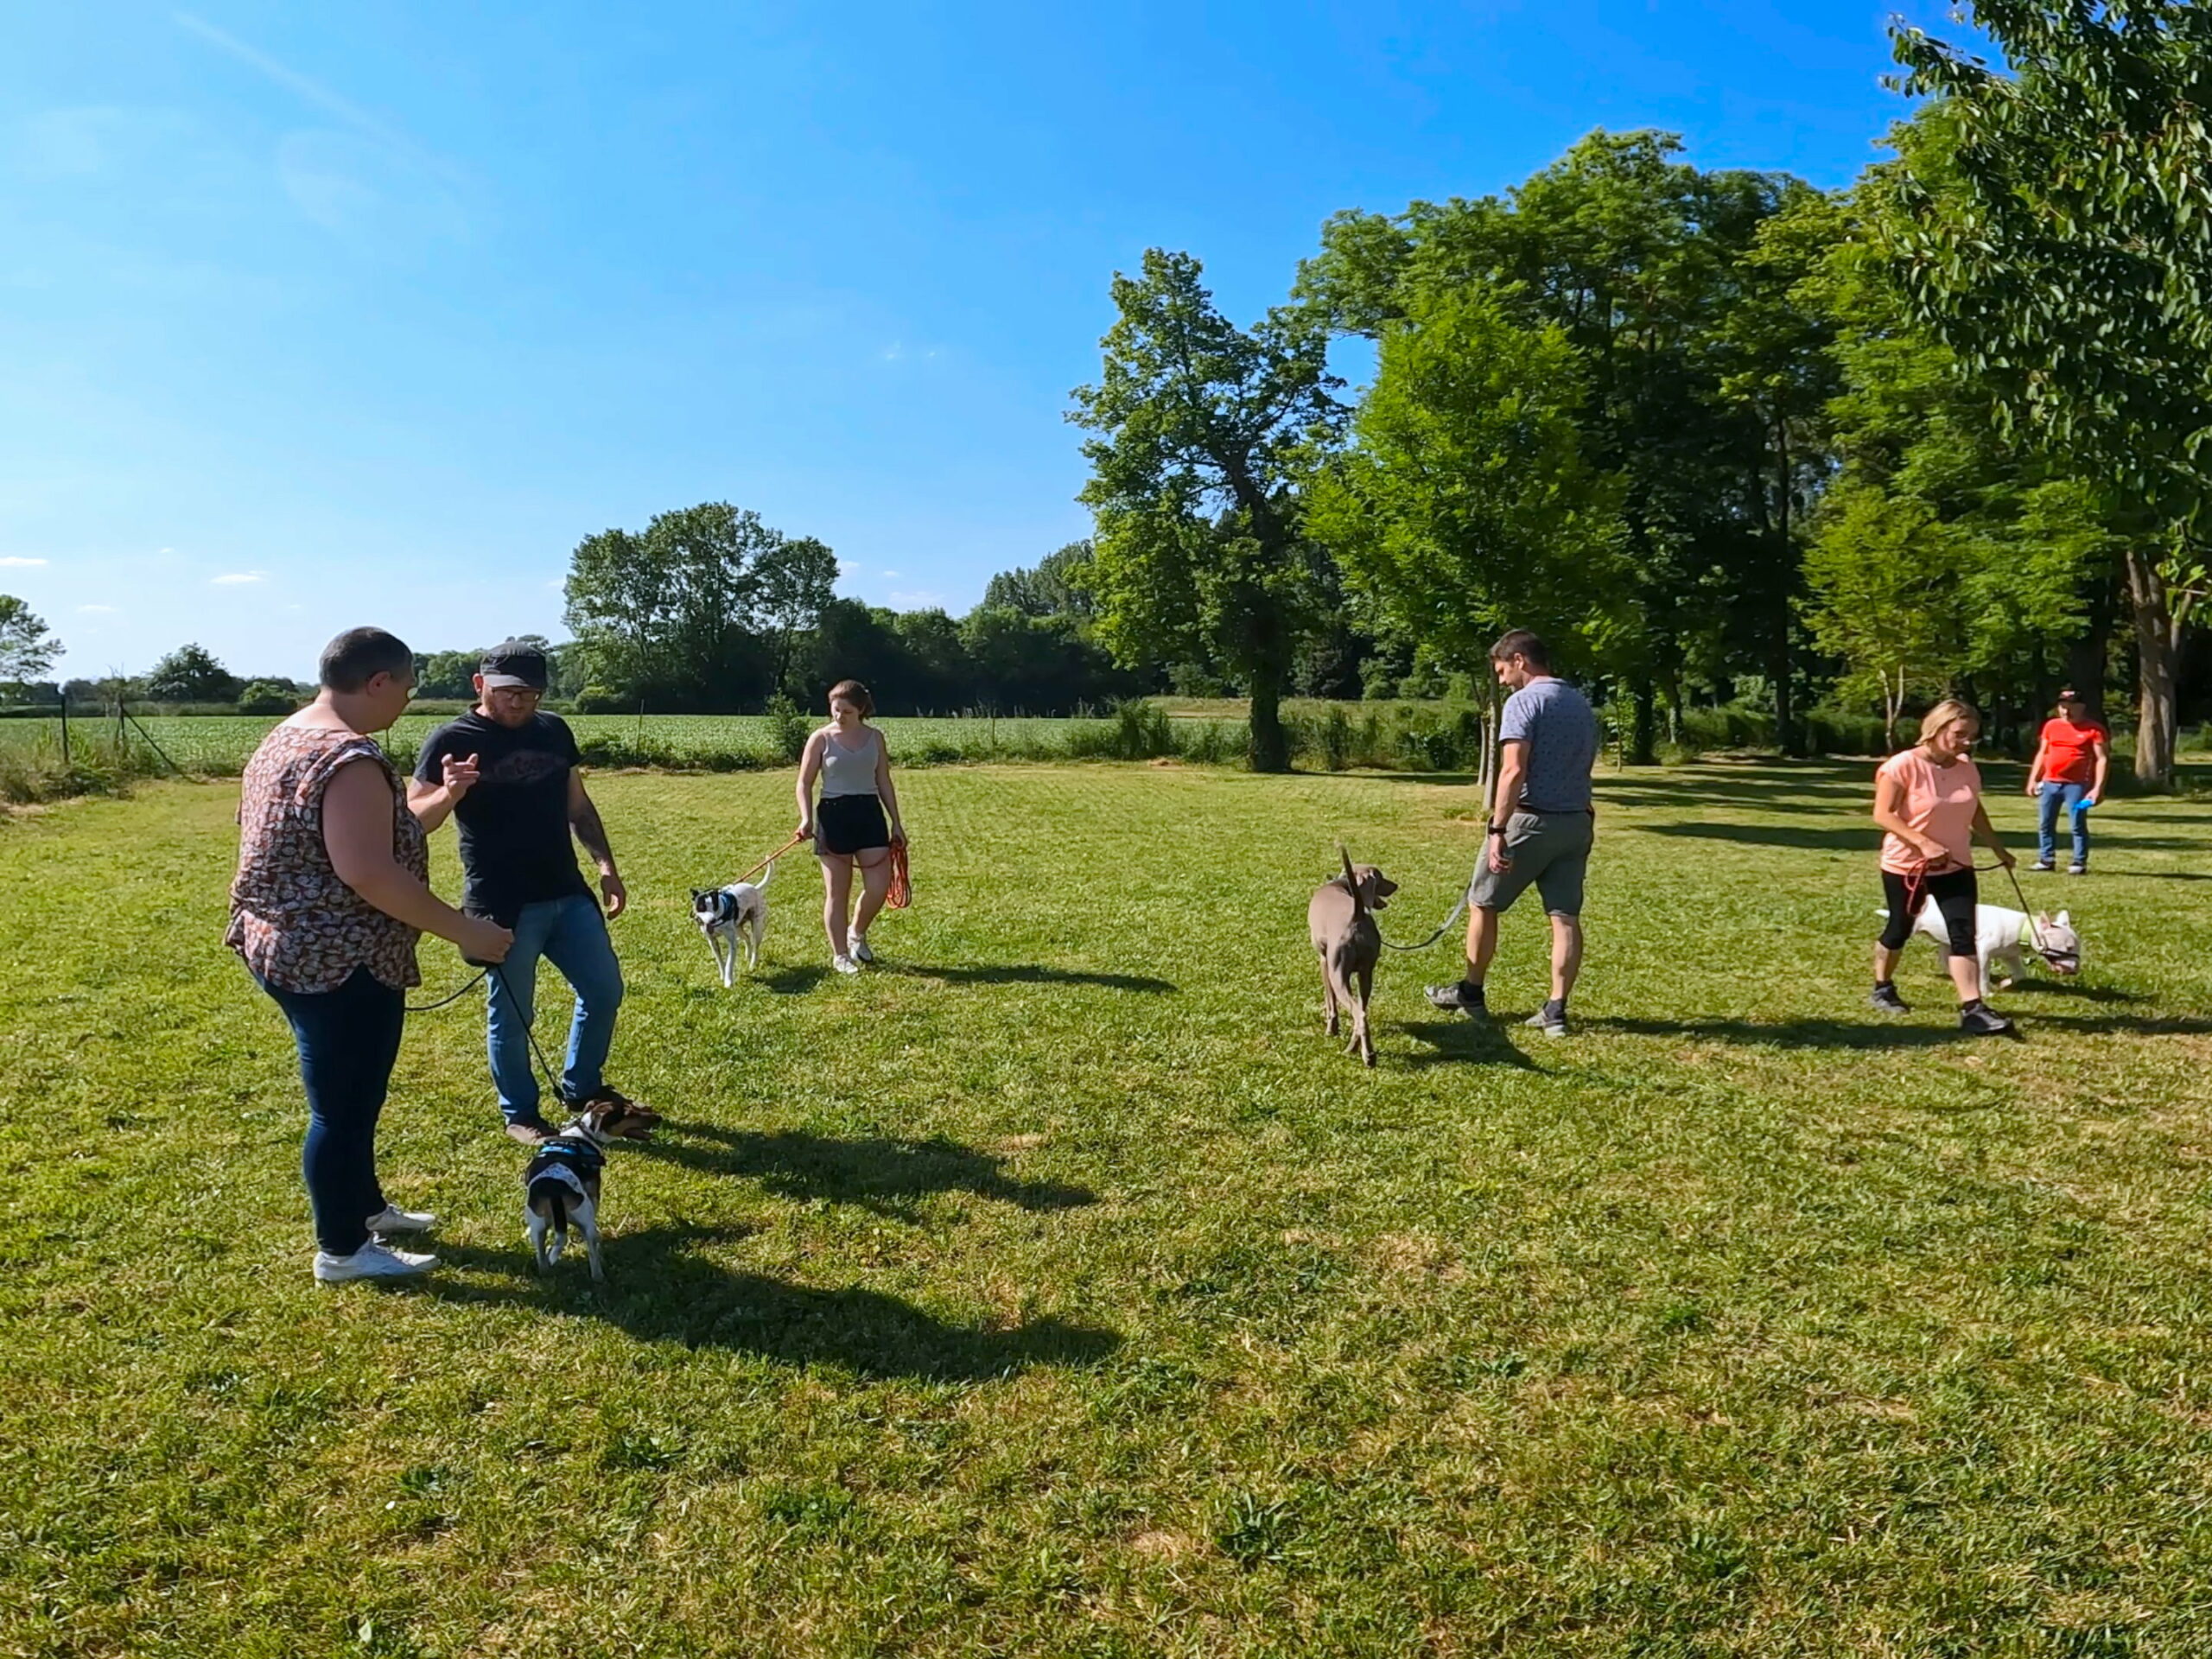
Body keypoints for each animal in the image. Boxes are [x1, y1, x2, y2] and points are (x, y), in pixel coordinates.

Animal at [690, 862, 779, 995]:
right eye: (701, 907)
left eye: (715, 907)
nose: (712, 920)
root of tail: (755, 888)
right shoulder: (712, 942)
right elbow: (720, 961)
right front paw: (722, 976)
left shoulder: (732, 942)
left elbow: (729, 964)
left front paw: (728, 982)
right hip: (738, 928)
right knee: (747, 938)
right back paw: (747, 954)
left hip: (757, 928)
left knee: (755, 947)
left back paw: (752, 964)